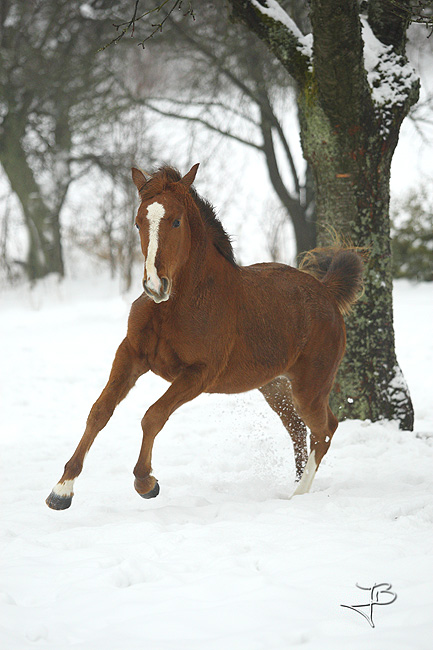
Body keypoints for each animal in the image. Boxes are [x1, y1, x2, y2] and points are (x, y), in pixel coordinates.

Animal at [45, 161, 362, 506]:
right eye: (138, 222)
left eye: (176, 221)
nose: (154, 285)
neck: (174, 307)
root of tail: (327, 292)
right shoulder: (130, 354)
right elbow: (99, 411)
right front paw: (61, 490)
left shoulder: (200, 373)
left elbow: (153, 416)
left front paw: (146, 482)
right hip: (276, 387)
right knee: (298, 428)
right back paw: (295, 484)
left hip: (310, 387)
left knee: (325, 430)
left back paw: (299, 494)